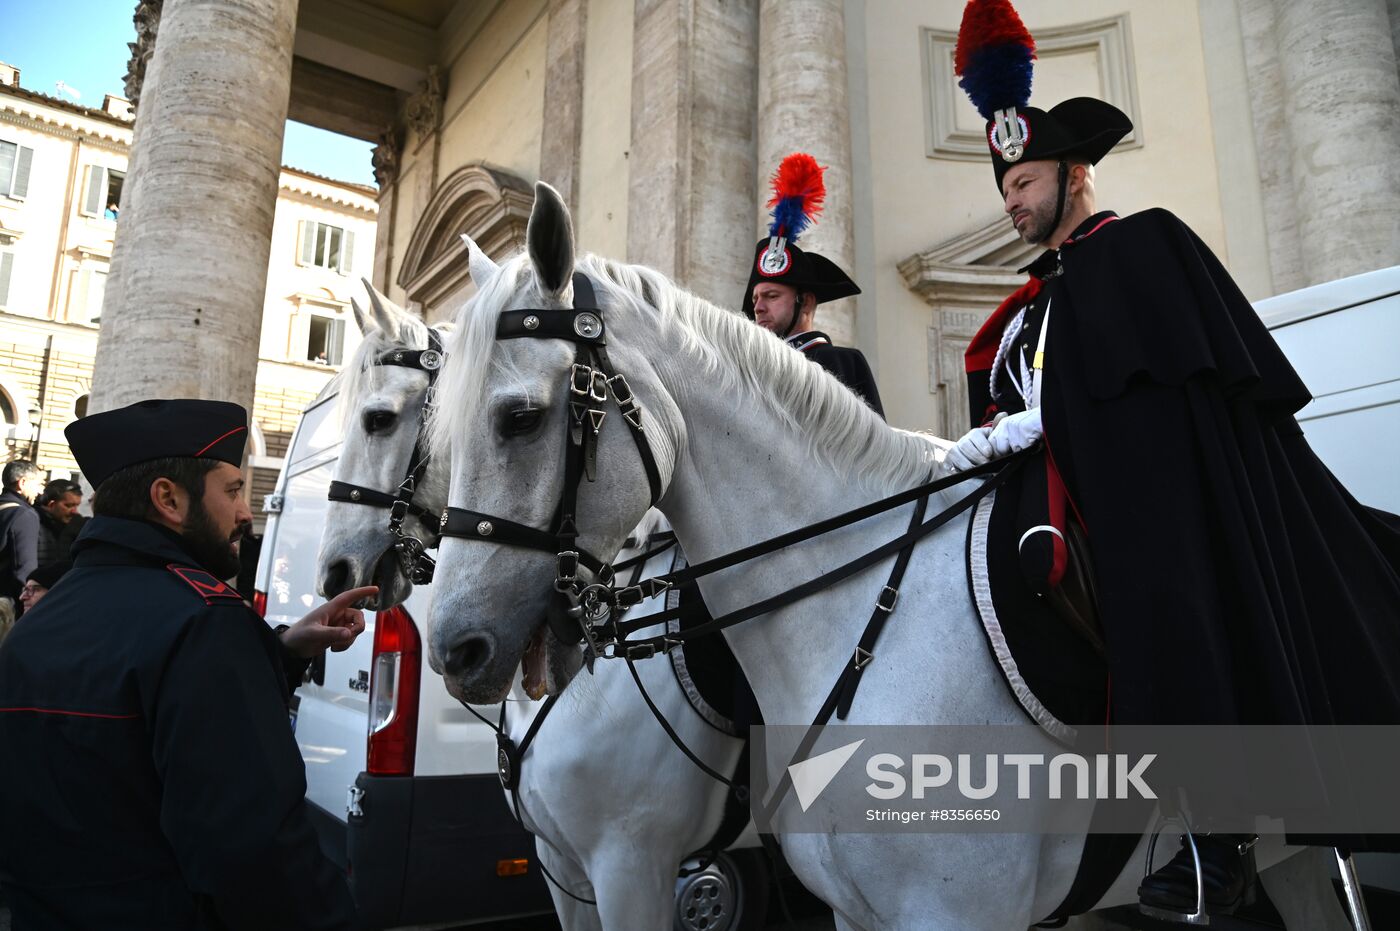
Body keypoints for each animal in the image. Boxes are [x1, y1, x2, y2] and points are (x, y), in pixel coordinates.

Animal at [425, 183, 1355, 929]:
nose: (455, 649)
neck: (856, 619)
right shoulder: (577, 876)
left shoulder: (639, 864)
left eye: (518, 417)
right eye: (439, 431)